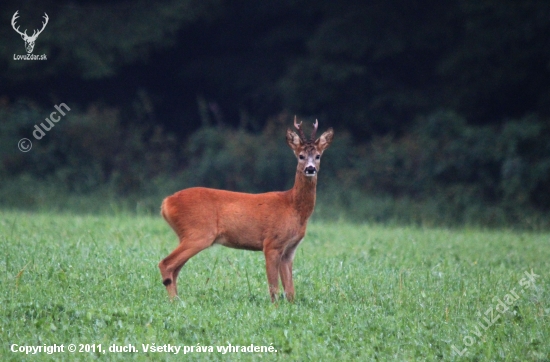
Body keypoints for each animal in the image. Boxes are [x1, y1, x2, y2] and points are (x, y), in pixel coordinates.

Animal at [157, 117, 334, 302]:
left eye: (318, 156)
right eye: (301, 156)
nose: (310, 168)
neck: (293, 207)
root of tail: (166, 202)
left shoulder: (290, 250)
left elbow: (290, 291)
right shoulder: (271, 243)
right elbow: (274, 287)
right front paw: (275, 306)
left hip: (187, 235)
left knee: (175, 269)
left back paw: (177, 300)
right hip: (199, 233)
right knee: (166, 264)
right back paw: (174, 302)